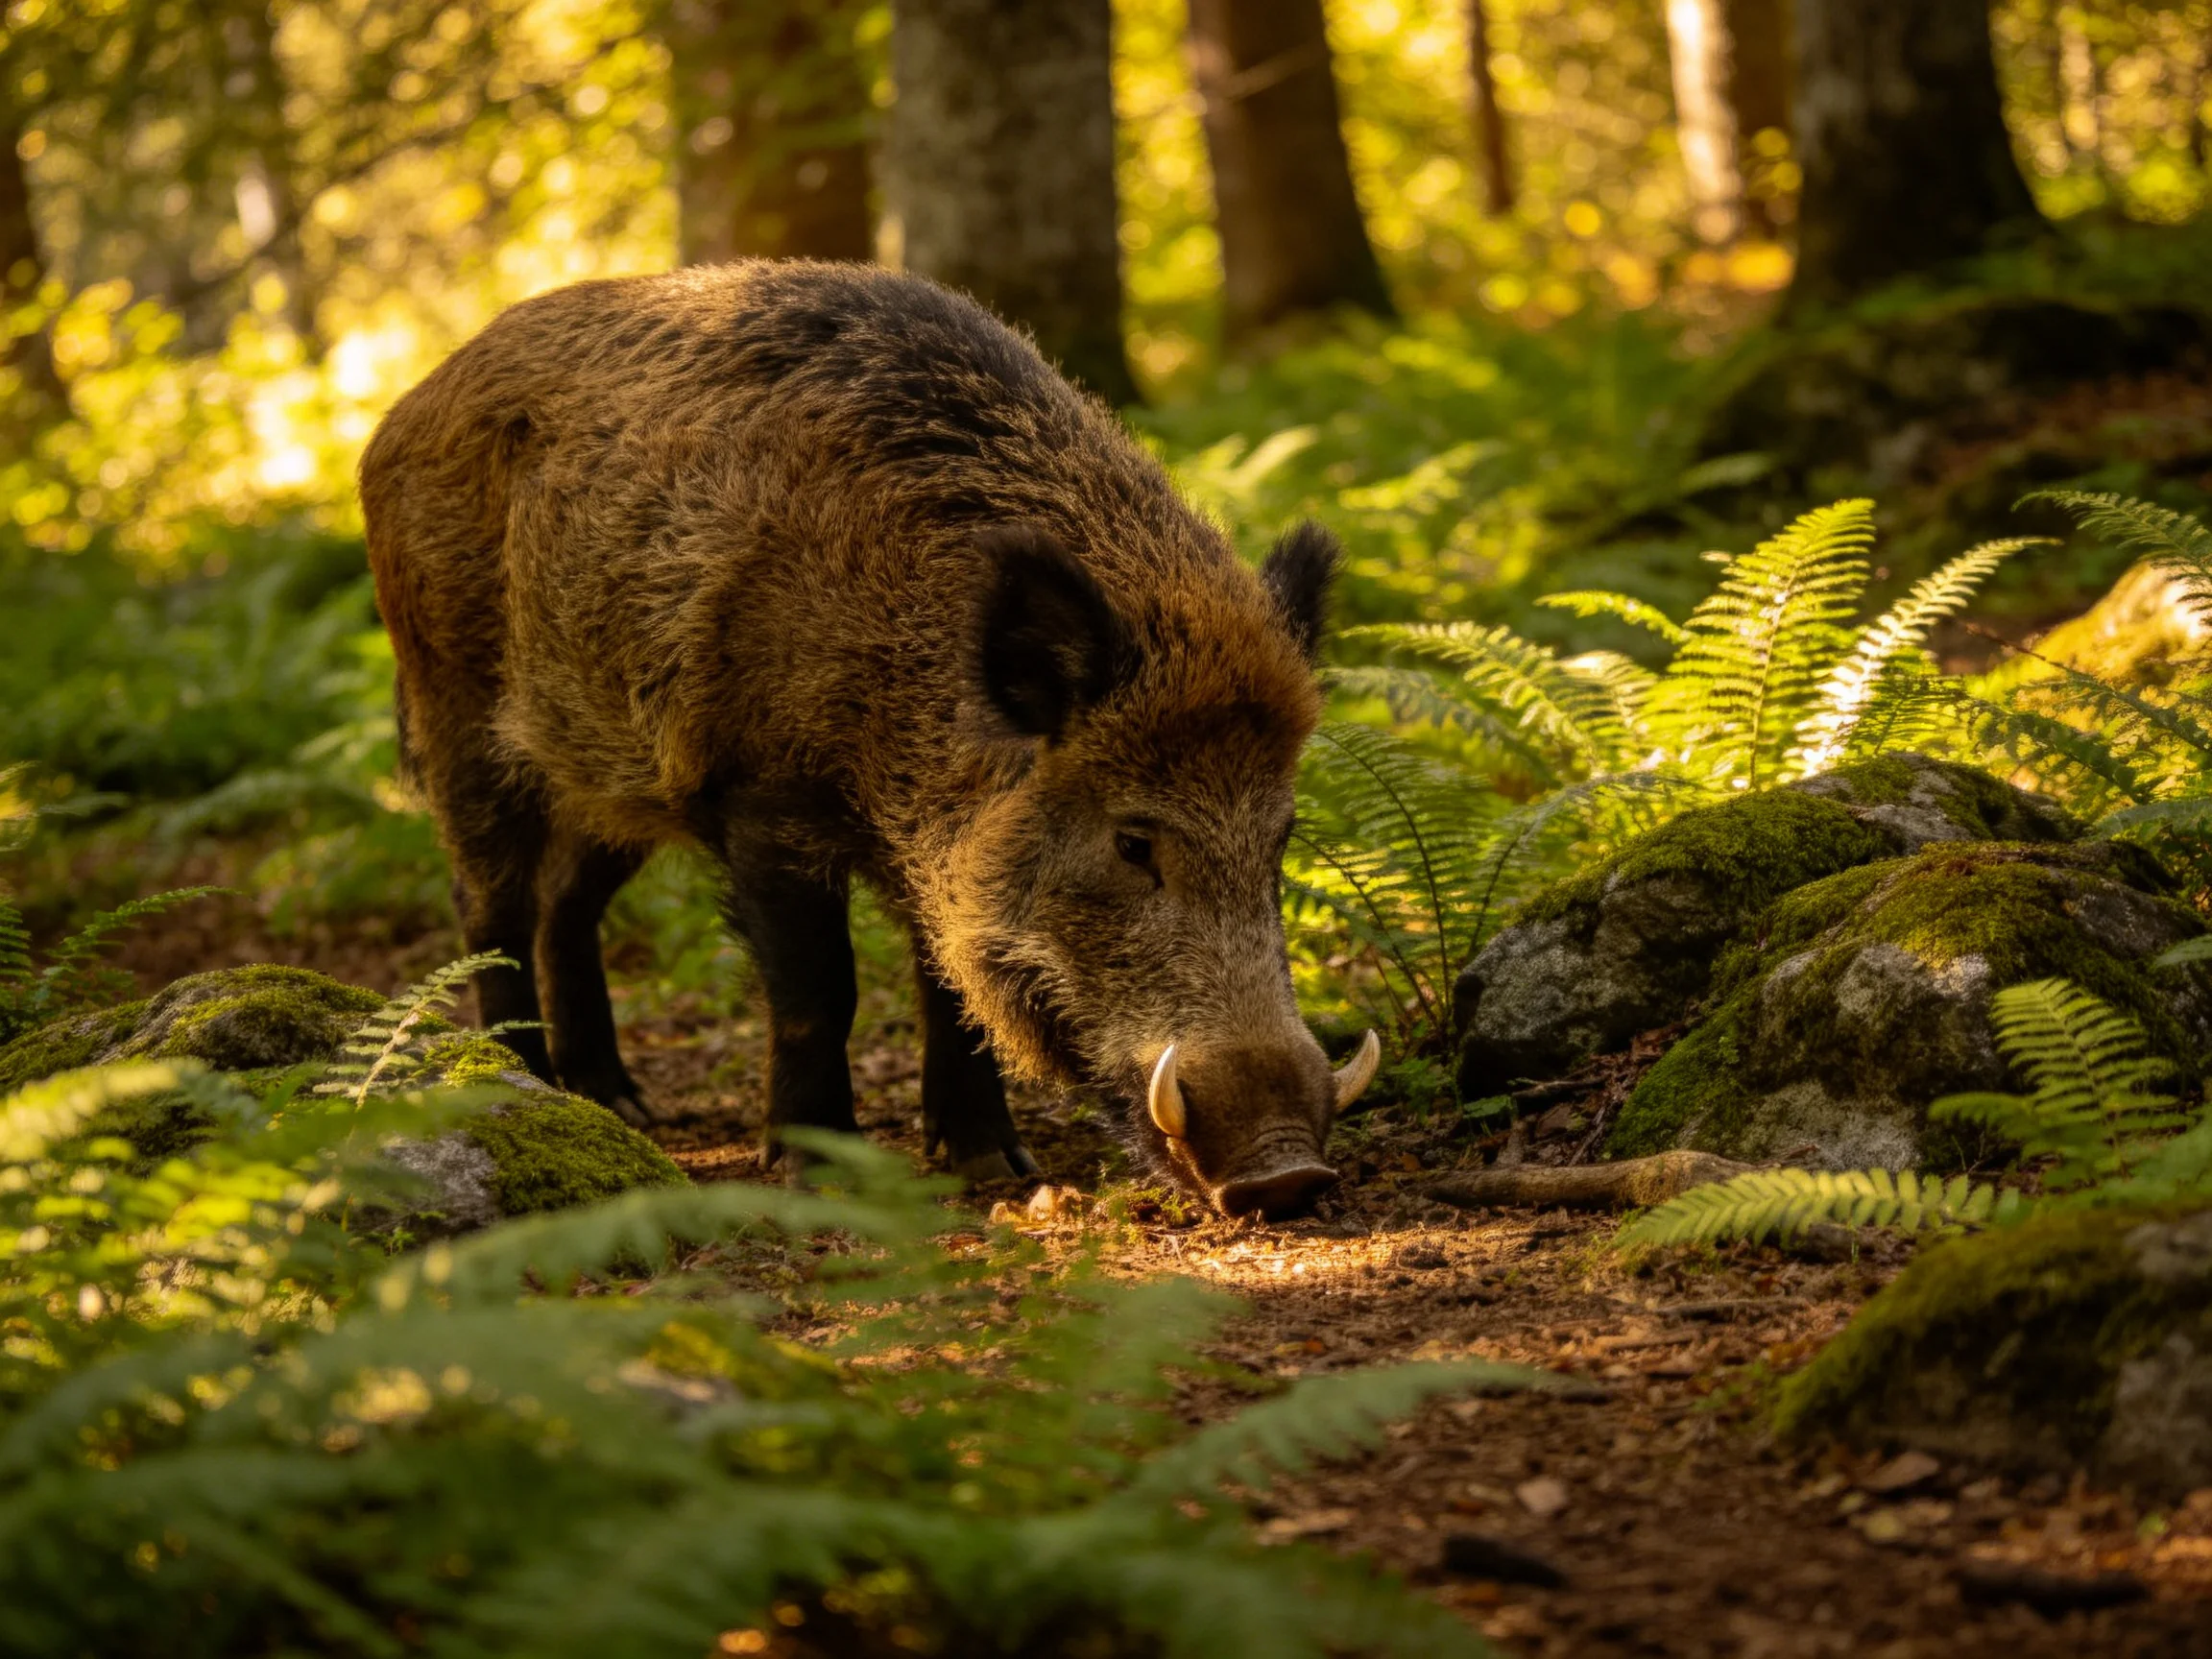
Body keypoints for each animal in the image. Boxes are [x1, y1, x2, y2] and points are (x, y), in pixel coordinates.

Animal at [360, 261, 1379, 1217]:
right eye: (1133, 841)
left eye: (1280, 839)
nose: (1288, 1174)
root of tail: (402, 413)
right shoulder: (763, 793)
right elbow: (821, 988)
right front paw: (813, 1169)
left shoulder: (923, 850)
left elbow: (948, 985)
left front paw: (992, 1165)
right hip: (455, 705)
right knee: (488, 904)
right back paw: (523, 1082)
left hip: (612, 778)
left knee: (566, 905)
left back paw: (617, 1104)